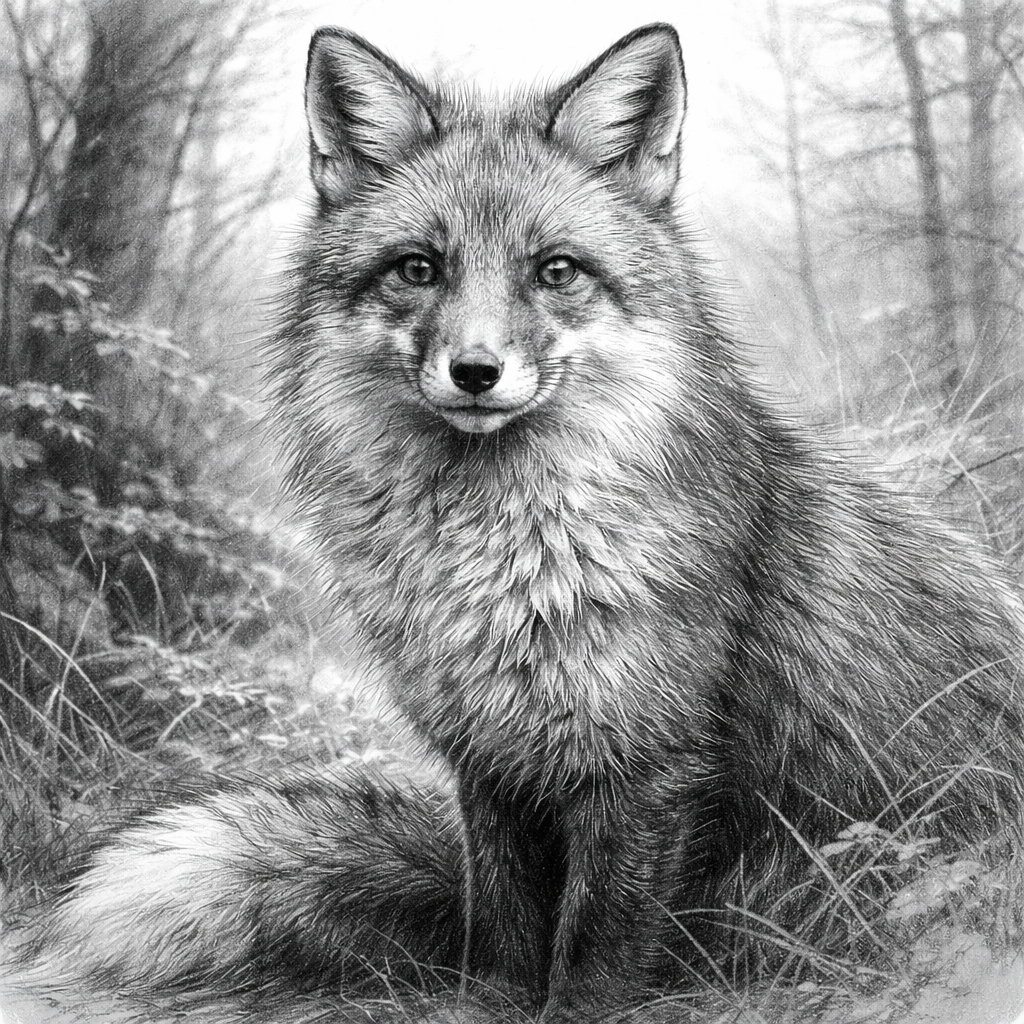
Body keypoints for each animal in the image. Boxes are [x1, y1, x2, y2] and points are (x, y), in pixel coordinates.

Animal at [20, 21, 1024, 1024]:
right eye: (419, 268)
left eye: (556, 272)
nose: (475, 371)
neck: (498, 569)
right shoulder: (490, 764)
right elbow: (504, 932)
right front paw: (486, 1006)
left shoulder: (646, 770)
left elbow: (593, 955)